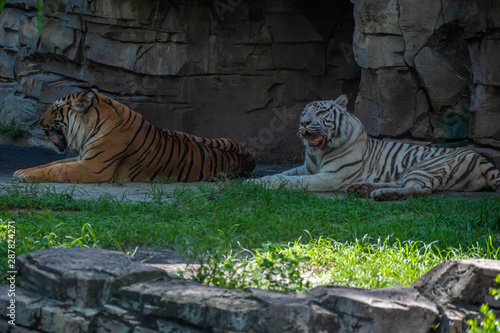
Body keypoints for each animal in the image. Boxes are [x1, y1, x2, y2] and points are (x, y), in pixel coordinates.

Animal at [13, 90, 256, 182]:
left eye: (55, 108)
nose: (39, 123)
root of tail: (249, 158)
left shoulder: (93, 167)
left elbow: (57, 170)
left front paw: (25, 175)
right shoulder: (82, 158)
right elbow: (52, 163)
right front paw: (21, 171)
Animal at [256, 94, 498, 198]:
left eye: (321, 112)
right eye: (304, 113)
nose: (303, 123)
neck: (318, 154)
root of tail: (481, 157)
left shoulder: (332, 176)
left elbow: (293, 181)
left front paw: (263, 183)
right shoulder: (306, 168)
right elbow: (283, 173)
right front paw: (255, 181)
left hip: (423, 167)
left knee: (420, 189)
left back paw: (379, 194)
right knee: (403, 184)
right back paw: (363, 188)